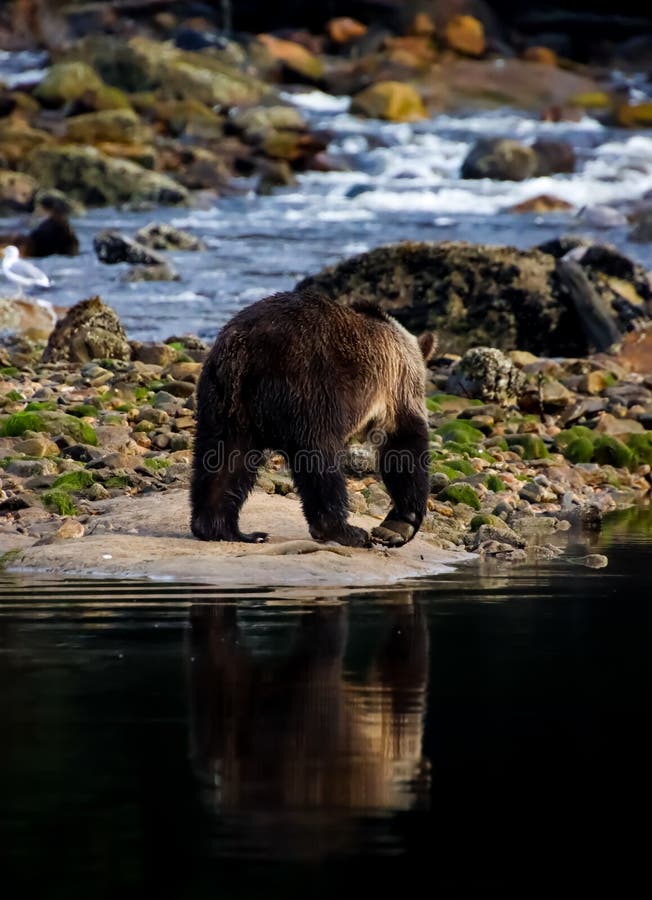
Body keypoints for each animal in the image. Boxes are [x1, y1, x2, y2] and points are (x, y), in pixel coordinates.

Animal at [190, 289, 436, 548]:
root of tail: (244, 349)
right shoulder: (397, 382)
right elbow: (404, 443)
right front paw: (399, 525)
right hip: (309, 386)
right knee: (319, 456)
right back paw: (345, 530)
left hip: (224, 402)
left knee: (223, 457)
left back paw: (230, 530)